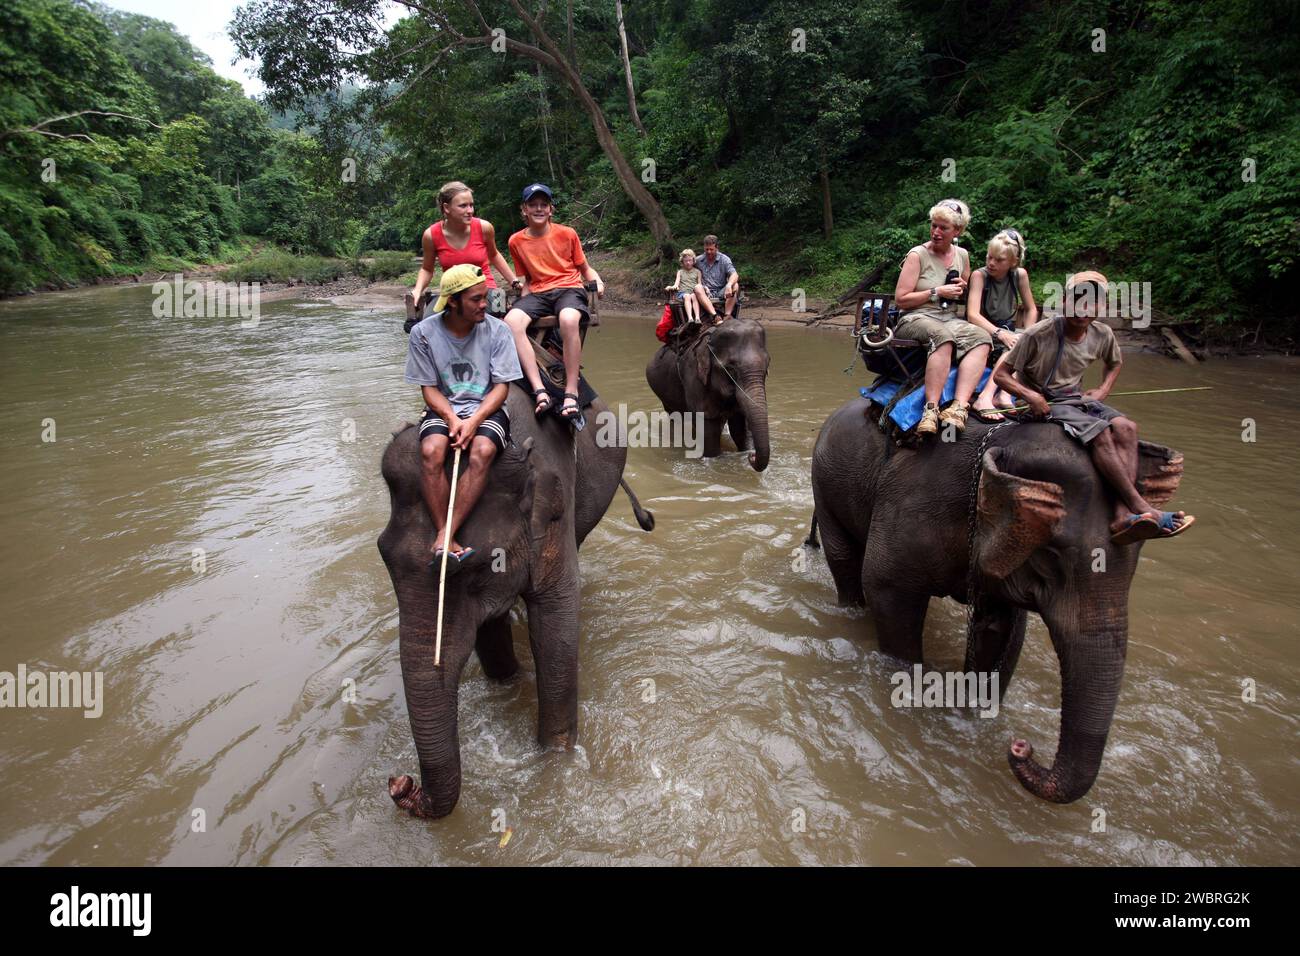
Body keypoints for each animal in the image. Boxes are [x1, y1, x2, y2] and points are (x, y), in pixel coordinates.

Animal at [378, 386, 654, 819]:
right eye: (383, 556)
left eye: (471, 569)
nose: (399, 783)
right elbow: (489, 631)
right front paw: (507, 682)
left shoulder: (555, 515)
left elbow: (556, 624)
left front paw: (556, 760)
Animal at [645, 318, 771, 470]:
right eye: (730, 368)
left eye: (767, 365)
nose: (752, 456)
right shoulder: (695, 379)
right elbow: (709, 433)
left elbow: (740, 429)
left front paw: (745, 452)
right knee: (675, 417)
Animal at [808, 398, 1186, 803]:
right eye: (1050, 557)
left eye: (1137, 557)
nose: (1021, 746)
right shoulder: (910, 508)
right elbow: (887, 594)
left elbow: (1002, 628)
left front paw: (976, 714)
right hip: (826, 483)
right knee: (845, 562)